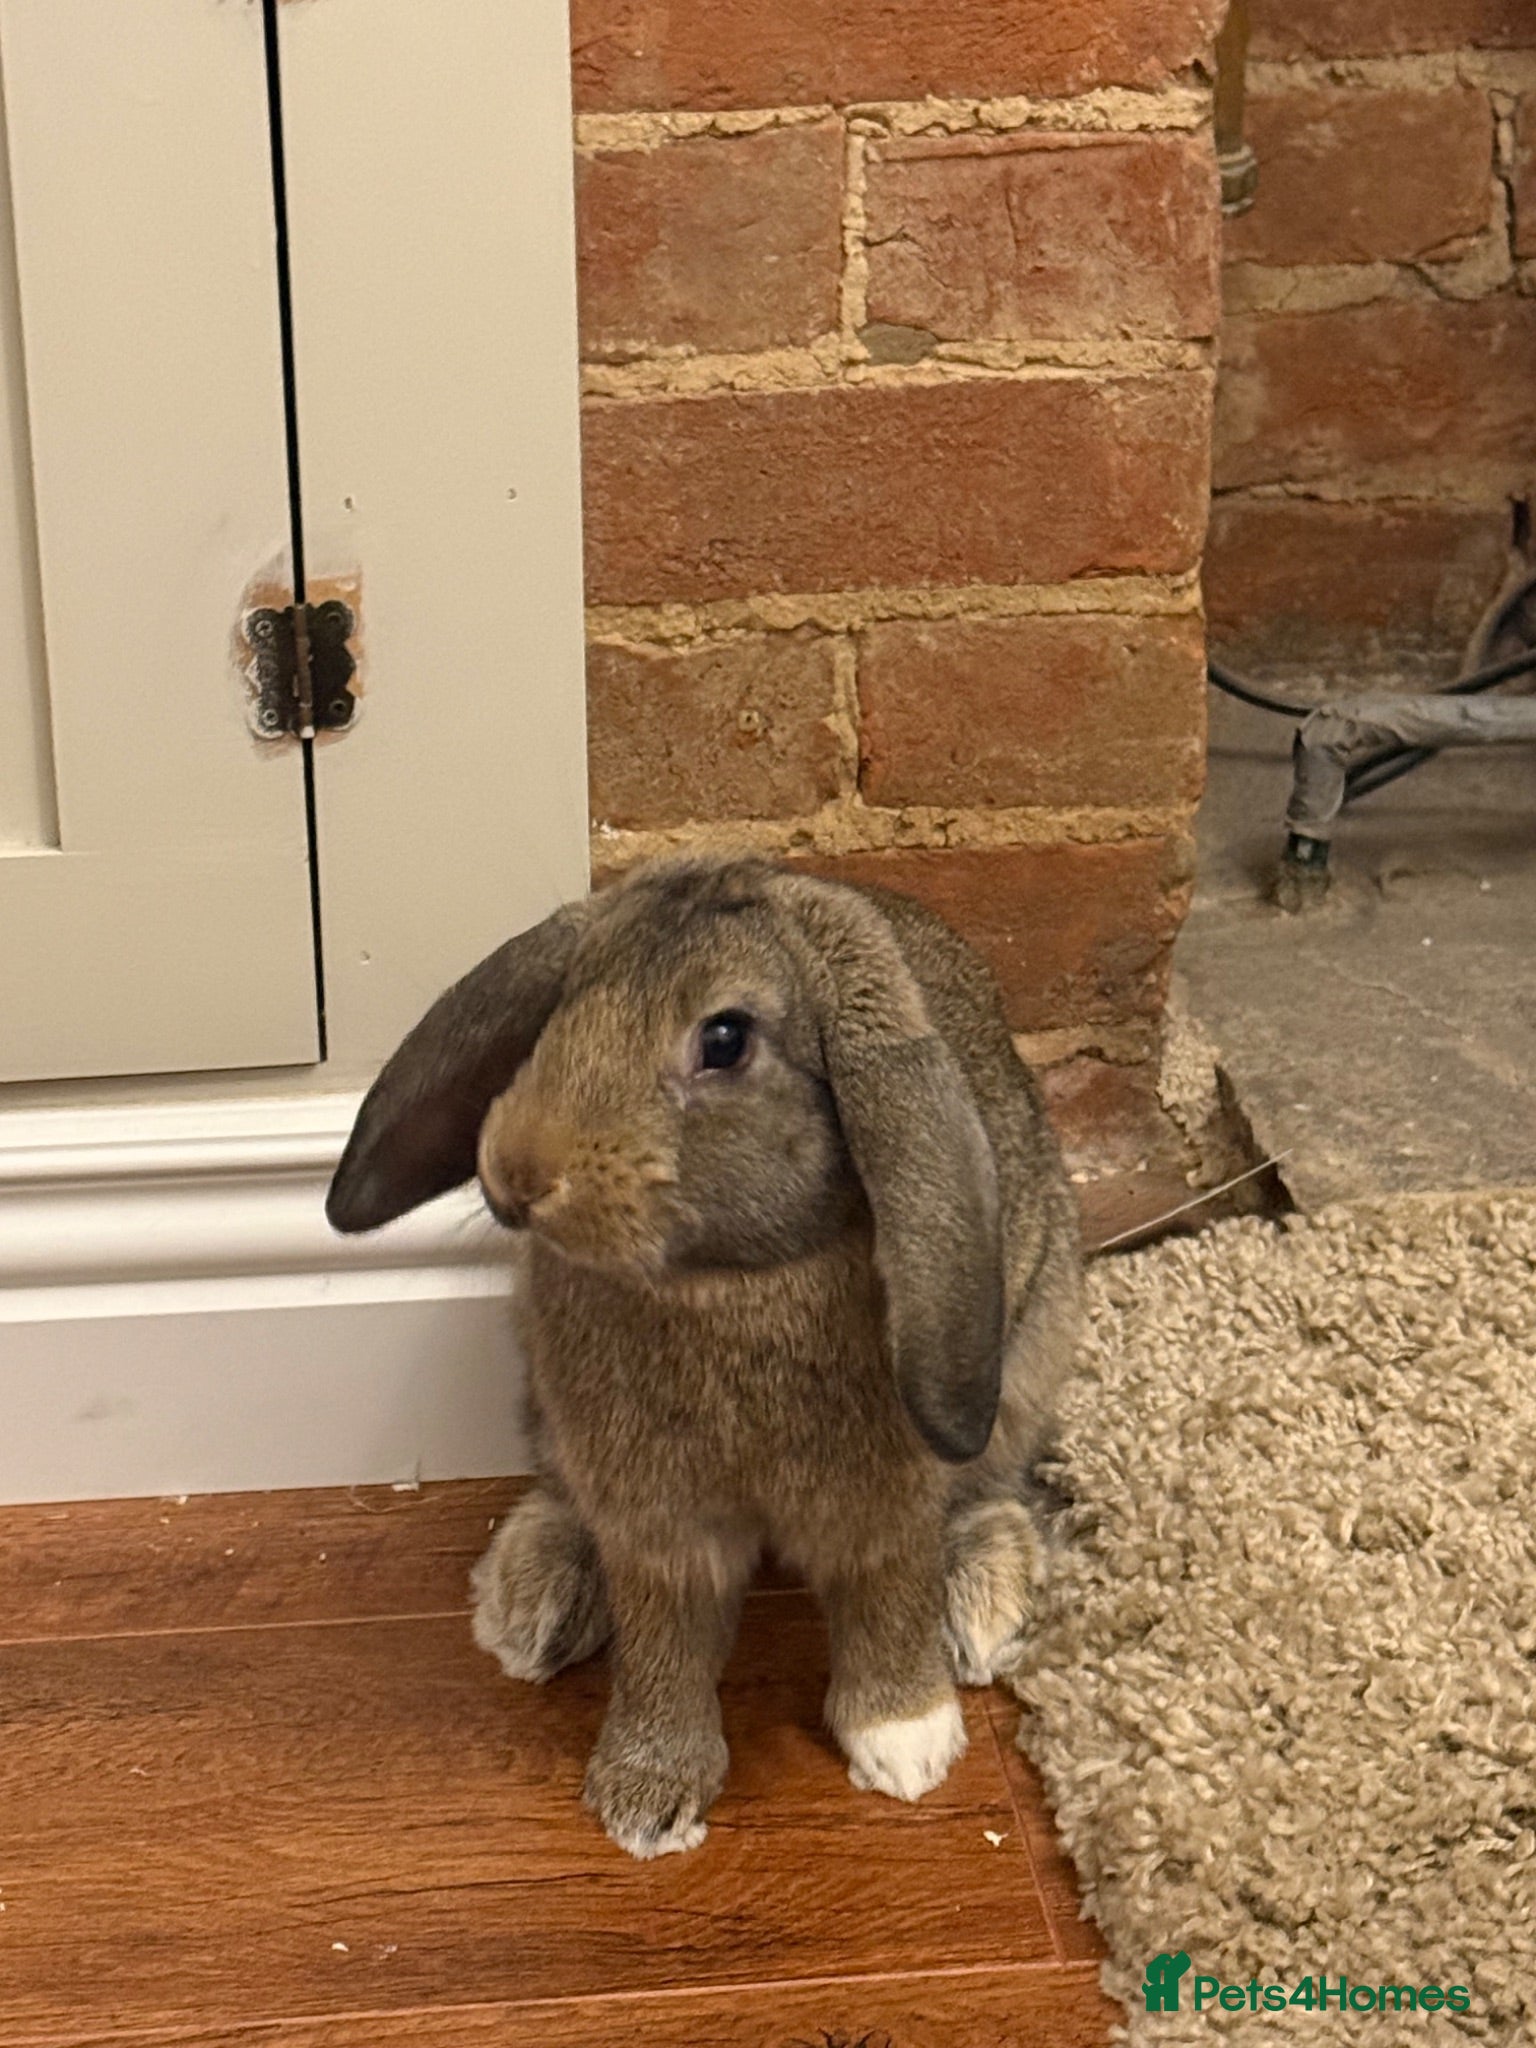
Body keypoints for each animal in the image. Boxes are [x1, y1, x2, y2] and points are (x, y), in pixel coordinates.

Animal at [327, 854, 1081, 1858]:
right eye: (563, 1002)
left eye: (725, 1038)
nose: (517, 1172)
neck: (725, 1280)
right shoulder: (656, 1518)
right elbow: (665, 1641)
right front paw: (646, 1800)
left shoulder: (879, 1502)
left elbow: (885, 1595)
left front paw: (906, 1748)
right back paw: (534, 1605)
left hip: (1026, 1355)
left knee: (989, 1488)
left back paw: (985, 1600)